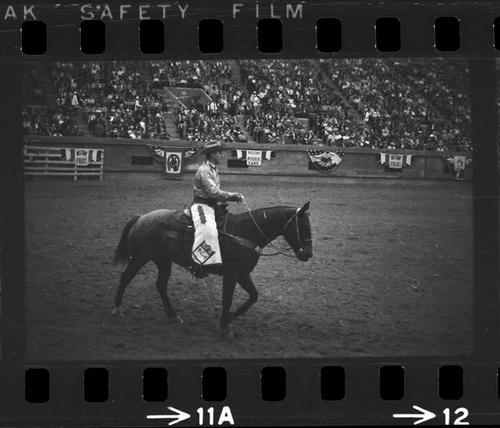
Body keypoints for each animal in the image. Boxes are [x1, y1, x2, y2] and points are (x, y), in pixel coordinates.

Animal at [113, 202, 312, 336]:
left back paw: (173, 315)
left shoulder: (242, 274)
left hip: (163, 262)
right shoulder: (232, 274)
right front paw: (224, 326)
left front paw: (230, 318)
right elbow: (227, 299)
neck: (244, 231)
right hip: (139, 258)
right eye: (302, 226)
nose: (308, 254)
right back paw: (117, 309)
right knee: (125, 278)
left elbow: (253, 296)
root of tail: (140, 218)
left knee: (160, 285)